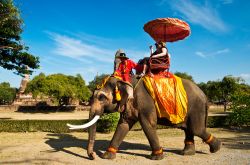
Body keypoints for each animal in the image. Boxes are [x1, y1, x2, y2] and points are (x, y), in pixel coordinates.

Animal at [67, 75, 221, 160]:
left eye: (101, 97)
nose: (92, 156)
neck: (127, 80)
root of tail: (205, 96)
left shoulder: (145, 101)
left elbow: (148, 124)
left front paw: (156, 157)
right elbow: (123, 125)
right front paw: (107, 157)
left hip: (196, 108)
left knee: (196, 129)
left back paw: (216, 148)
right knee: (189, 129)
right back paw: (186, 153)